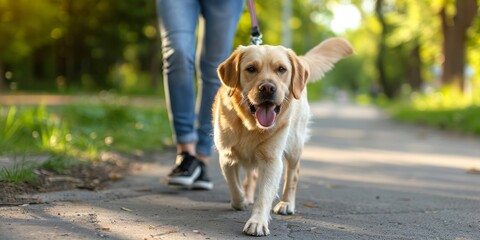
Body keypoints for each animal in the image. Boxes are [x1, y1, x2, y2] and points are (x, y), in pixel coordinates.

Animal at [214, 38, 352, 236]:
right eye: (251, 68)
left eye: (281, 69)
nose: (267, 88)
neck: (251, 125)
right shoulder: (226, 155)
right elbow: (234, 185)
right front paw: (240, 201)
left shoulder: (271, 160)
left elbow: (265, 194)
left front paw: (257, 222)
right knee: (250, 177)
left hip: (294, 145)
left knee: (293, 173)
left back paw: (287, 203)